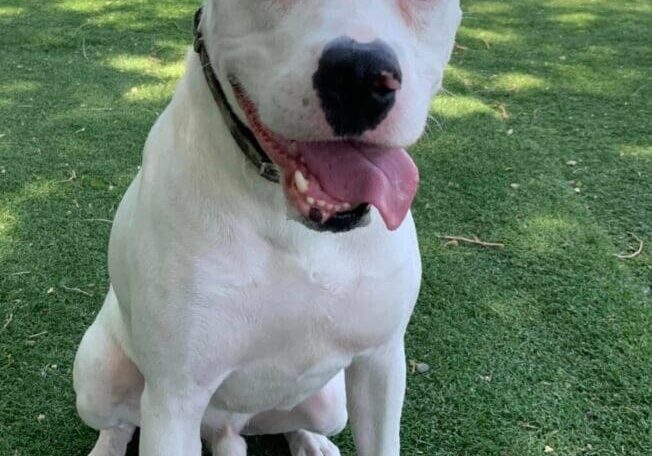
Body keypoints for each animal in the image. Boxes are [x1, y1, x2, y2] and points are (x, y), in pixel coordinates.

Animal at [74, 1, 460, 454]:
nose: (360, 77)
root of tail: (223, 430)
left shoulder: (380, 363)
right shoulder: (173, 400)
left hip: (331, 402)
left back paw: (313, 442)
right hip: (98, 374)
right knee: (117, 424)